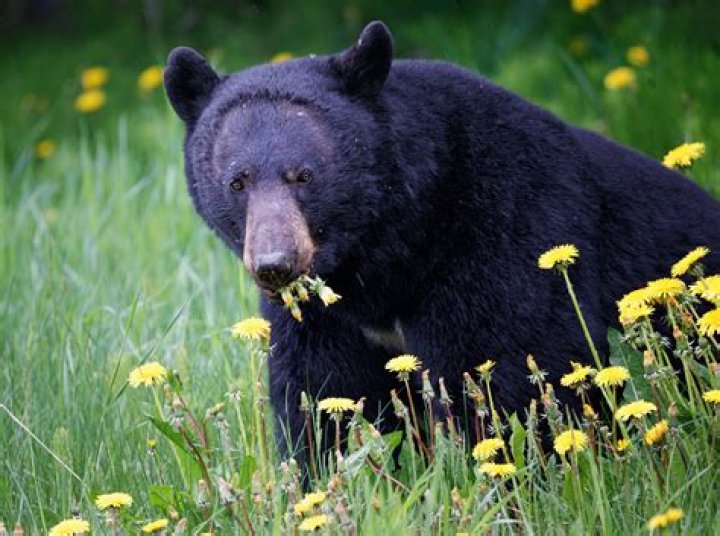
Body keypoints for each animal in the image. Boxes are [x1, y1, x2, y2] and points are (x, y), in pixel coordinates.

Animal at [164, 21, 720, 461]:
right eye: (236, 182)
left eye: (304, 175)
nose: (276, 263)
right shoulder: (325, 314)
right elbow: (323, 391)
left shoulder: (504, 230)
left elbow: (503, 367)